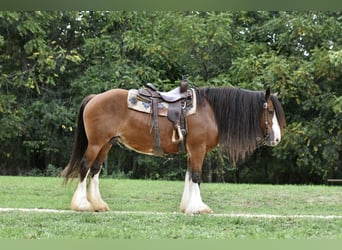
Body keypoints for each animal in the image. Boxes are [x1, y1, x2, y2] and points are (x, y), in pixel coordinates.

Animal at [62, 85, 286, 214]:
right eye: (270, 111)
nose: (277, 138)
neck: (209, 110)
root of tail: (95, 97)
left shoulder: (192, 151)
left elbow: (188, 177)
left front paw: (188, 206)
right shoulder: (198, 149)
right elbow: (196, 176)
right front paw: (199, 208)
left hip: (107, 144)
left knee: (95, 170)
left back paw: (98, 205)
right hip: (96, 143)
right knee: (84, 167)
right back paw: (82, 205)